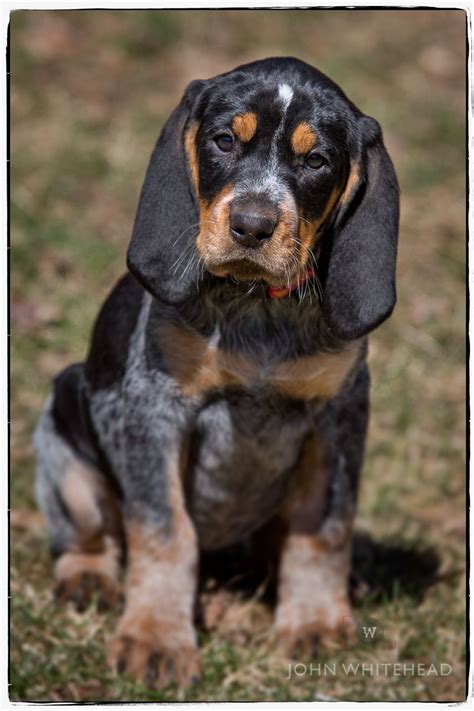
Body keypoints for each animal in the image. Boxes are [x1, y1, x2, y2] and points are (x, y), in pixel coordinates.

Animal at [34, 57, 400, 688]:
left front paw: (316, 623)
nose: (252, 225)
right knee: (90, 533)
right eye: (224, 141)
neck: (258, 307)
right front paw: (155, 639)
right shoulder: (154, 408)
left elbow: (324, 528)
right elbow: (164, 530)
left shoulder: (340, 415)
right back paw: (87, 577)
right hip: (63, 439)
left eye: (316, 161)